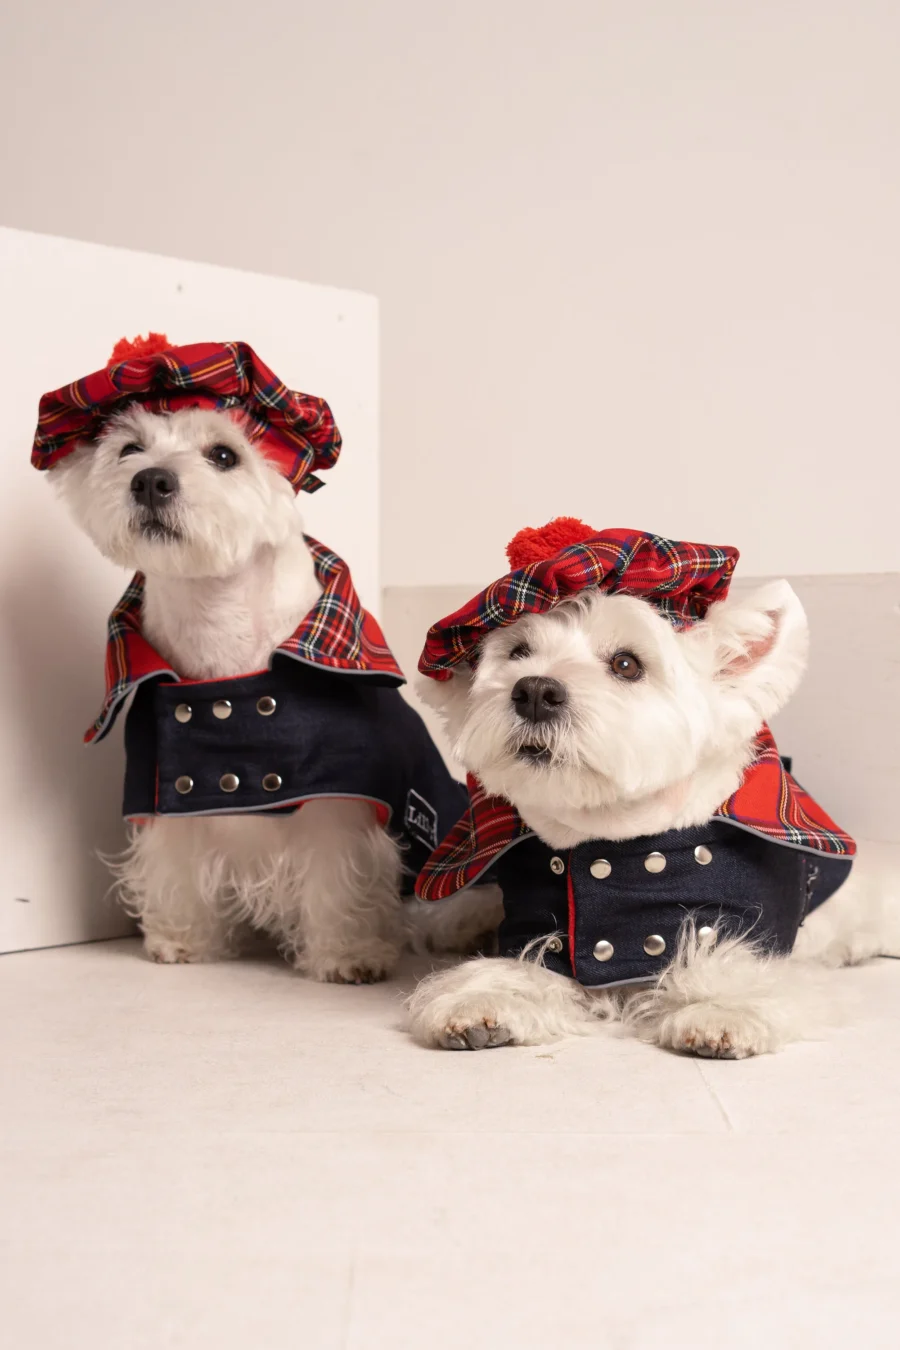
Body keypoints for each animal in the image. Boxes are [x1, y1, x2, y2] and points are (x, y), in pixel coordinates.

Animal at [33, 332, 493, 977]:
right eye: (130, 448)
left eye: (224, 455)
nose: (150, 481)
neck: (219, 636)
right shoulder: (160, 795)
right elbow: (175, 867)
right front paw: (184, 940)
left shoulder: (341, 801)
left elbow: (338, 879)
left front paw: (348, 954)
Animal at [410, 515, 900, 1053]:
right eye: (518, 652)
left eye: (627, 664)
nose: (534, 691)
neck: (614, 841)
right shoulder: (542, 923)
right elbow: (523, 964)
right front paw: (486, 1000)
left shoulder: (743, 928)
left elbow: (739, 970)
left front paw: (720, 1011)